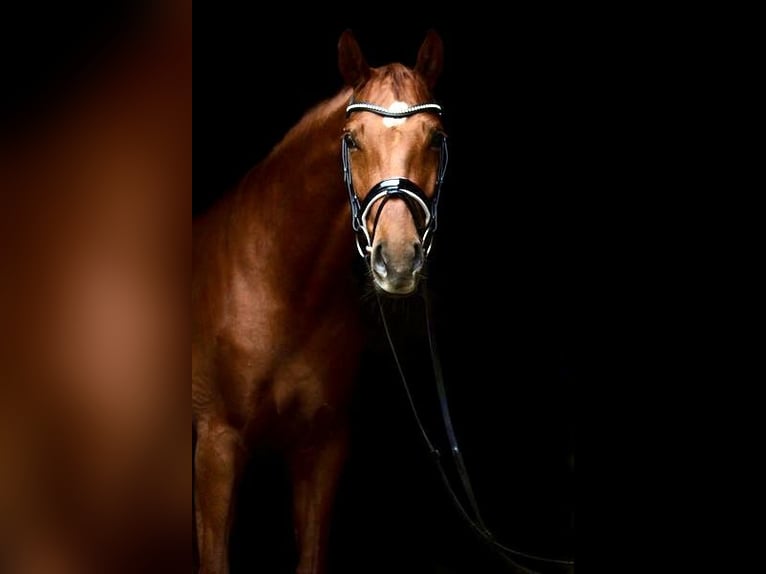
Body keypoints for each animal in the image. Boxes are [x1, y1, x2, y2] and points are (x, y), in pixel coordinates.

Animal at [192, 29, 448, 574]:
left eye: (435, 138)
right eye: (351, 139)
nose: (397, 260)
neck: (283, 291)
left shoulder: (323, 449)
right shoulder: (216, 445)